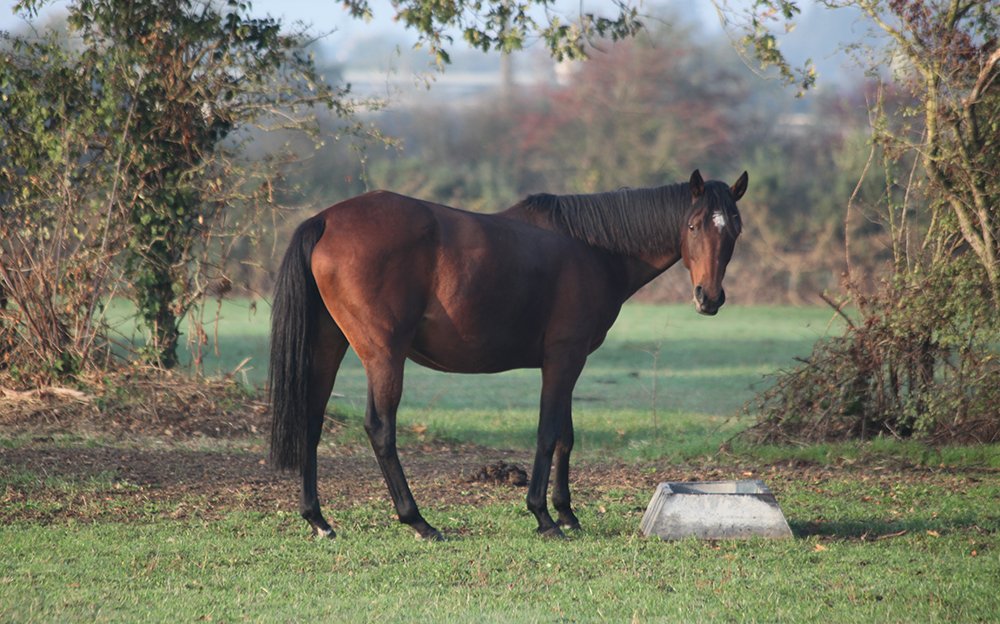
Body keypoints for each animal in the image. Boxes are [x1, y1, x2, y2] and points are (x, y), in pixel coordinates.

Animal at [270, 168, 748, 540]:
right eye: (694, 226)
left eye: (734, 229)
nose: (709, 298)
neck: (593, 248)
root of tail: (326, 219)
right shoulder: (564, 358)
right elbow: (548, 433)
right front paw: (544, 516)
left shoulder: (567, 362)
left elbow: (566, 436)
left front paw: (567, 513)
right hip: (383, 354)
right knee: (380, 429)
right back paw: (419, 521)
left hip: (329, 345)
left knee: (312, 421)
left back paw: (318, 520)